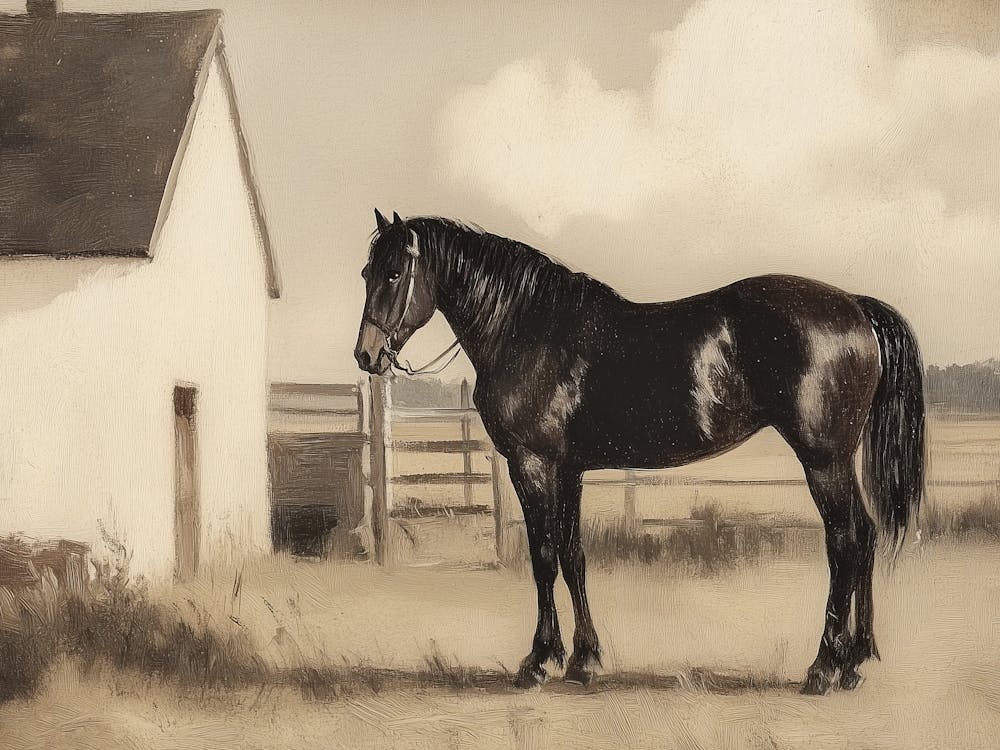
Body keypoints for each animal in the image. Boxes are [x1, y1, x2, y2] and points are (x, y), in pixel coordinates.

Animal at [354, 210, 925, 695]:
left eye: (393, 274)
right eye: (366, 271)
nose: (366, 355)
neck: (530, 328)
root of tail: (853, 306)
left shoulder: (532, 465)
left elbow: (543, 557)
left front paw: (537, 661)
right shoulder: (569, 470)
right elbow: (573, 555)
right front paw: (583, 660)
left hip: (823, 460)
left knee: (845, 540)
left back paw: (824, 667)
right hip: (835, 461)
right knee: (864, 535)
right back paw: (853, 663)